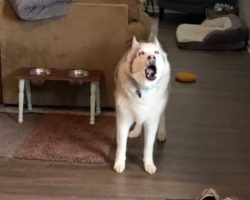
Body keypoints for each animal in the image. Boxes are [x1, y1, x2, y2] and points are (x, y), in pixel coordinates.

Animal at [114, 36, 171, 174]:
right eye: (141, 53)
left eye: (156, 52)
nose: (152, 57)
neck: (143, 88)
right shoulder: (123, 120)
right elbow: (121, 145)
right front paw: (119, 163)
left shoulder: (152, 121)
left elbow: (148, 146)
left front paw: (148, 164)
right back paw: (136, 131)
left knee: (162, 116)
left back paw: (162, 133)